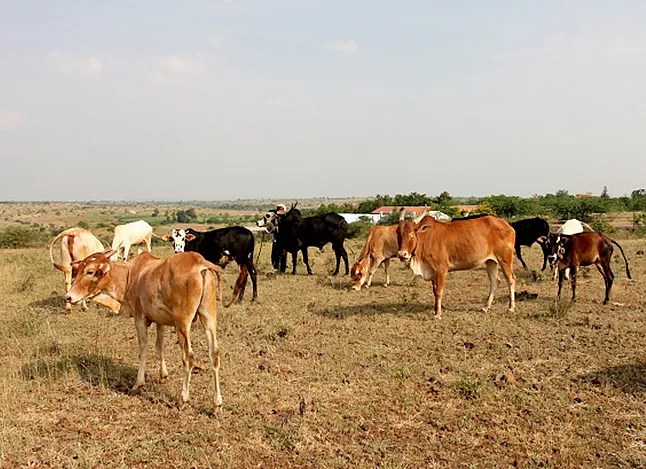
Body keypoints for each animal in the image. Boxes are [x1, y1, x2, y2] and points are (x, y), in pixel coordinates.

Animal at [65, 250, 225, 408]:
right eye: (78, 270)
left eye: (90, 271)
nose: (68, 297)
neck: (129, 276)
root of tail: (198, 261)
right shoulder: (160, 321)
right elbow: (159, 347)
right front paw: (163, 374)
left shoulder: (140, 319)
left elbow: (143, 349)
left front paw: (138, 383)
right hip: (209, 317)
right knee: (214, 353)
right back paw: (217, 403)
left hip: (183, 323)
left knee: (189, 357)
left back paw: (183, 397)